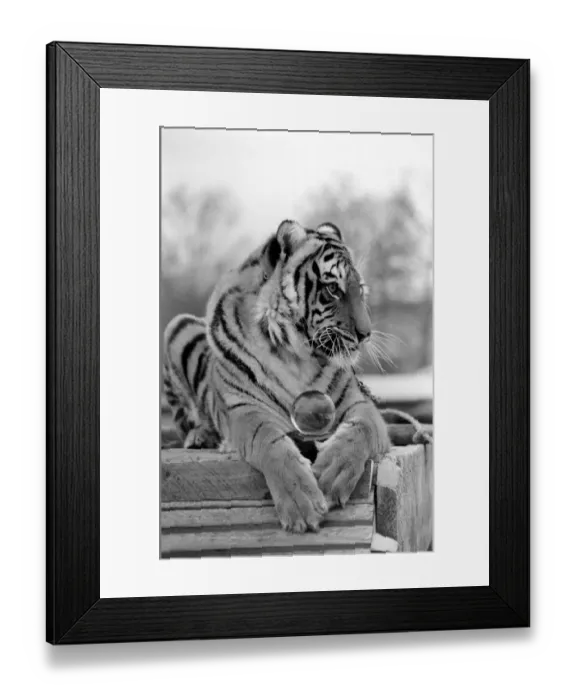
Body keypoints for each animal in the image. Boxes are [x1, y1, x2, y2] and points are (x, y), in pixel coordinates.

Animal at [163, 219, 389, 533]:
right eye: (333, 289)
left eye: (361, 291)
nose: (366, 334)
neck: (295, 355)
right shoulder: (245, 410)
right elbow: (270, 442)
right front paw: (301, 503)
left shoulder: (359, 403)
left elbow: (361, 429)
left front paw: (332, 473)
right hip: (177, 327)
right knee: (185, 418)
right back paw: (201, 436)